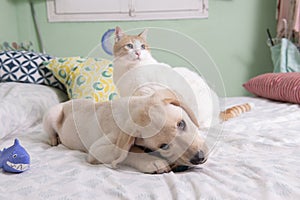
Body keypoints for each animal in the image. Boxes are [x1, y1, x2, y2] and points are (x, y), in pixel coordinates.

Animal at [43, 89, 207, 173]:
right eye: (164, 146)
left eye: (181, 124)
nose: (199, 157)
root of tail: (66, 102)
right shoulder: (97, 150)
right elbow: (128, 151)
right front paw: (153, 162)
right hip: (51, 114)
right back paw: (54, 140)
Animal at [111, 26, 252, 128]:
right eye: (129, 46)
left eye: (143, 47)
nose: (138, 53)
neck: (129, 69)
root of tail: (217, 113)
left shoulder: (147, 92)